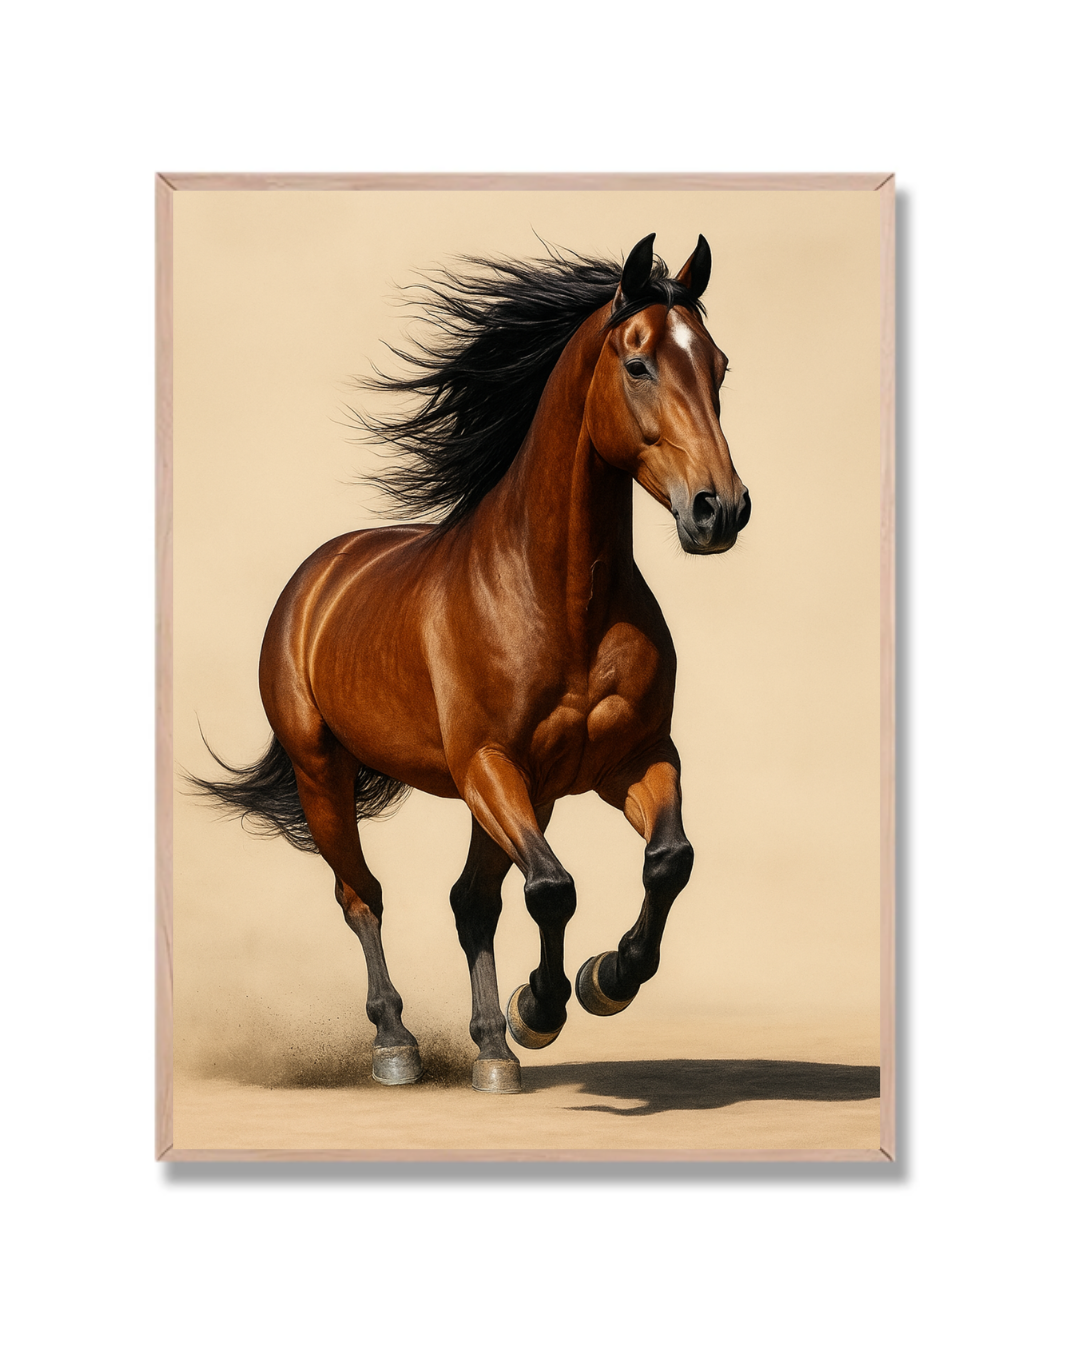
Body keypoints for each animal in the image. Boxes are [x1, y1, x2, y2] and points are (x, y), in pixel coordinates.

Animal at [192, 233, 751, 1093]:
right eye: (638, 363)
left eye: (718, 366)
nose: (719, 510)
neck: (560, 599)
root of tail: (319, 574)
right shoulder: (489, 764)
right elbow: (553, 889)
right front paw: (544, 1006)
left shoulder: (631, 760)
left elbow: (668, 862)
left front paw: (603, 981)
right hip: (326, 772)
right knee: (362, 896)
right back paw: (397, 1045)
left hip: (521, 795)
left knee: (471, 901)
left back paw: (492, 1048)